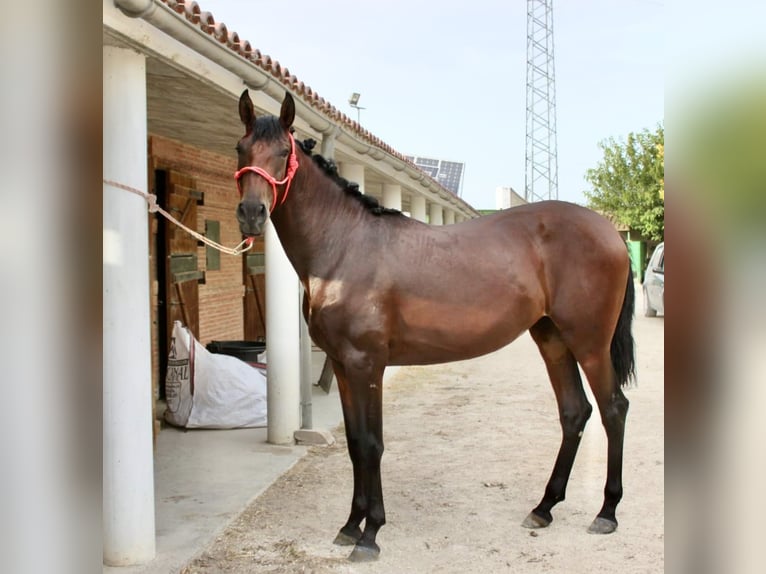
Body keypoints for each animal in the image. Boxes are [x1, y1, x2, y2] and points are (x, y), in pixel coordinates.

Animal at [234, 89, 636, 564]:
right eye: (241, 149)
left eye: (283, 152)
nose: (251, 213)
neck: (343, 247)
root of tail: (610, 233)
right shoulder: (343, 366)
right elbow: (353, 443)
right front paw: (350, 526)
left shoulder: (367, 365)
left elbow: (371, 444)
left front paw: (371, 534)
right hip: (552, 338)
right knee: (575, 412)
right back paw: (543, 508)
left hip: (590, 343)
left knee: (613, 409)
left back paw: (606, 512)